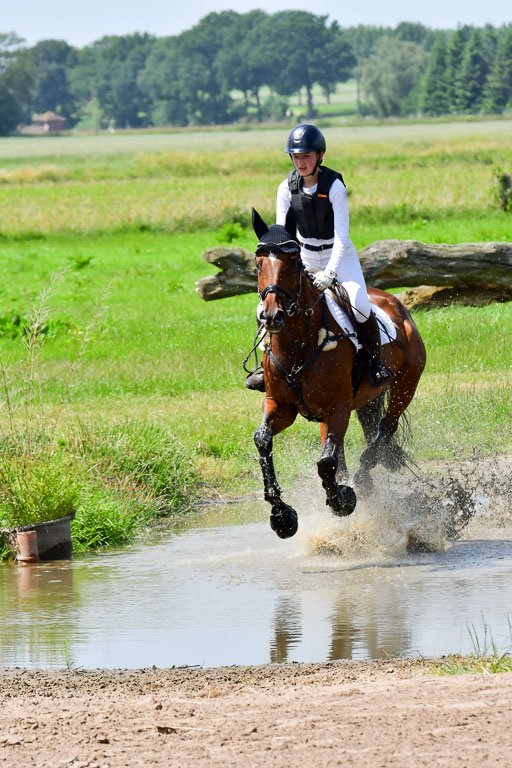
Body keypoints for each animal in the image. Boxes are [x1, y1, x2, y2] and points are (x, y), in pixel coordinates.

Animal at [250, 209, 427, 539]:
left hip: (405, 387)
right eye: (258, 265)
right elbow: (263, 441)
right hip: (362, 401)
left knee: (384, 431)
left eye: (293, 264)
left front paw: (342, 500)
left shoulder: (339, 408)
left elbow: (326, 461)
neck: (299, 344)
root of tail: (395, 302)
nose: (272, 317)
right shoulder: (280, 406)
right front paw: (281, 516)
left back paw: (362, 481)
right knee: (362, 436)